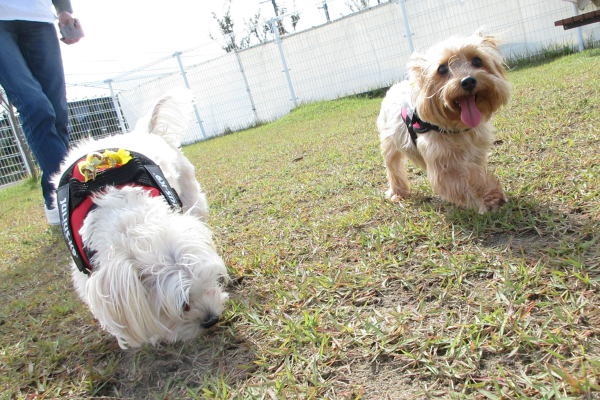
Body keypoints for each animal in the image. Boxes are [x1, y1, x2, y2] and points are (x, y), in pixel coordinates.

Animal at [53, 90, 229, 349]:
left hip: (192, 196)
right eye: (183, 305)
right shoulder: (86, 270)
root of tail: (146, 131)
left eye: (211, 283)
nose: (211, 319)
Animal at [377, 30, 511, 214]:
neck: (457, 125)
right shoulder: (444, 164)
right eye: (442, 69)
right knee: (393, 166)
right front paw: (491, 196)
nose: (468, 80)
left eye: (477, 61)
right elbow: (470, 177)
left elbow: (475, 171)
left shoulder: (476, 151)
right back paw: (397, 192)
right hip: (389, 141)